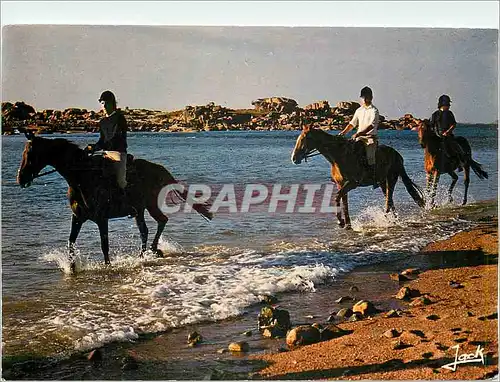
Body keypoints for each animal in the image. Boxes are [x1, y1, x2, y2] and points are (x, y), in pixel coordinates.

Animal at [16, 131, 212, 272]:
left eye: (30, 154)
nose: (20, 178)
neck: (82, 178)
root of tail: (161, 170)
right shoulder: (77, 218)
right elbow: (71, 241)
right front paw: (71, 267)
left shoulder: (102, 219)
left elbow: (104, 244)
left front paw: (107, 266)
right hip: (140, 210)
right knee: (147, 229)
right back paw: (147, 253)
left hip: (149, 205)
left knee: (158, 223)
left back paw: (150, 251)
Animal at [292, 125, 424, 228]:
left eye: (304, 139)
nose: (294, 158)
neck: (338, 156)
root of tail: (397, 155)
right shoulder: (341, 184)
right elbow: (344, 202)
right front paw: (347, 224)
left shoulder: (352, 183)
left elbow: (337, 198)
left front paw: (340, 221)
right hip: (382, 182)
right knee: (390, 200)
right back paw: (393, 219)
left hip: (391, 179)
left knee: (389, 200)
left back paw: (386, 218)